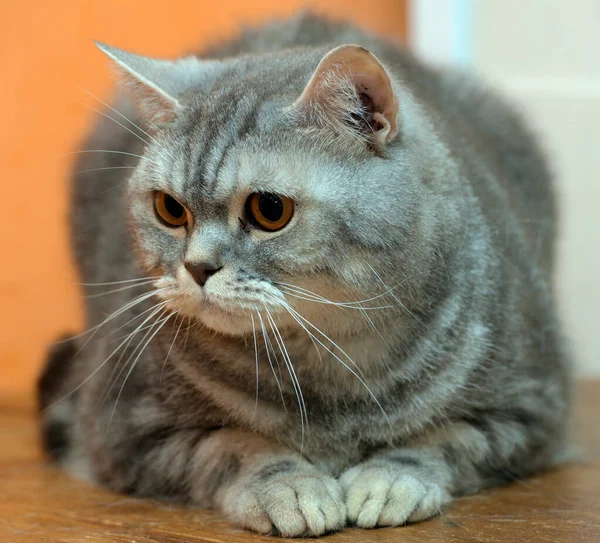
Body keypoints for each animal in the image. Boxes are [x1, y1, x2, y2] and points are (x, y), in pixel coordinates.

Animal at [38, 12, 572, 540]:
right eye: (169, 209)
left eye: (270, 210)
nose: (197, 267)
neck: (332, 352)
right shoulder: (122, 430)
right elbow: (235, 446)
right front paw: (288, 488)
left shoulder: (529, 410)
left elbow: (439, 440)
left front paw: (389, 480)